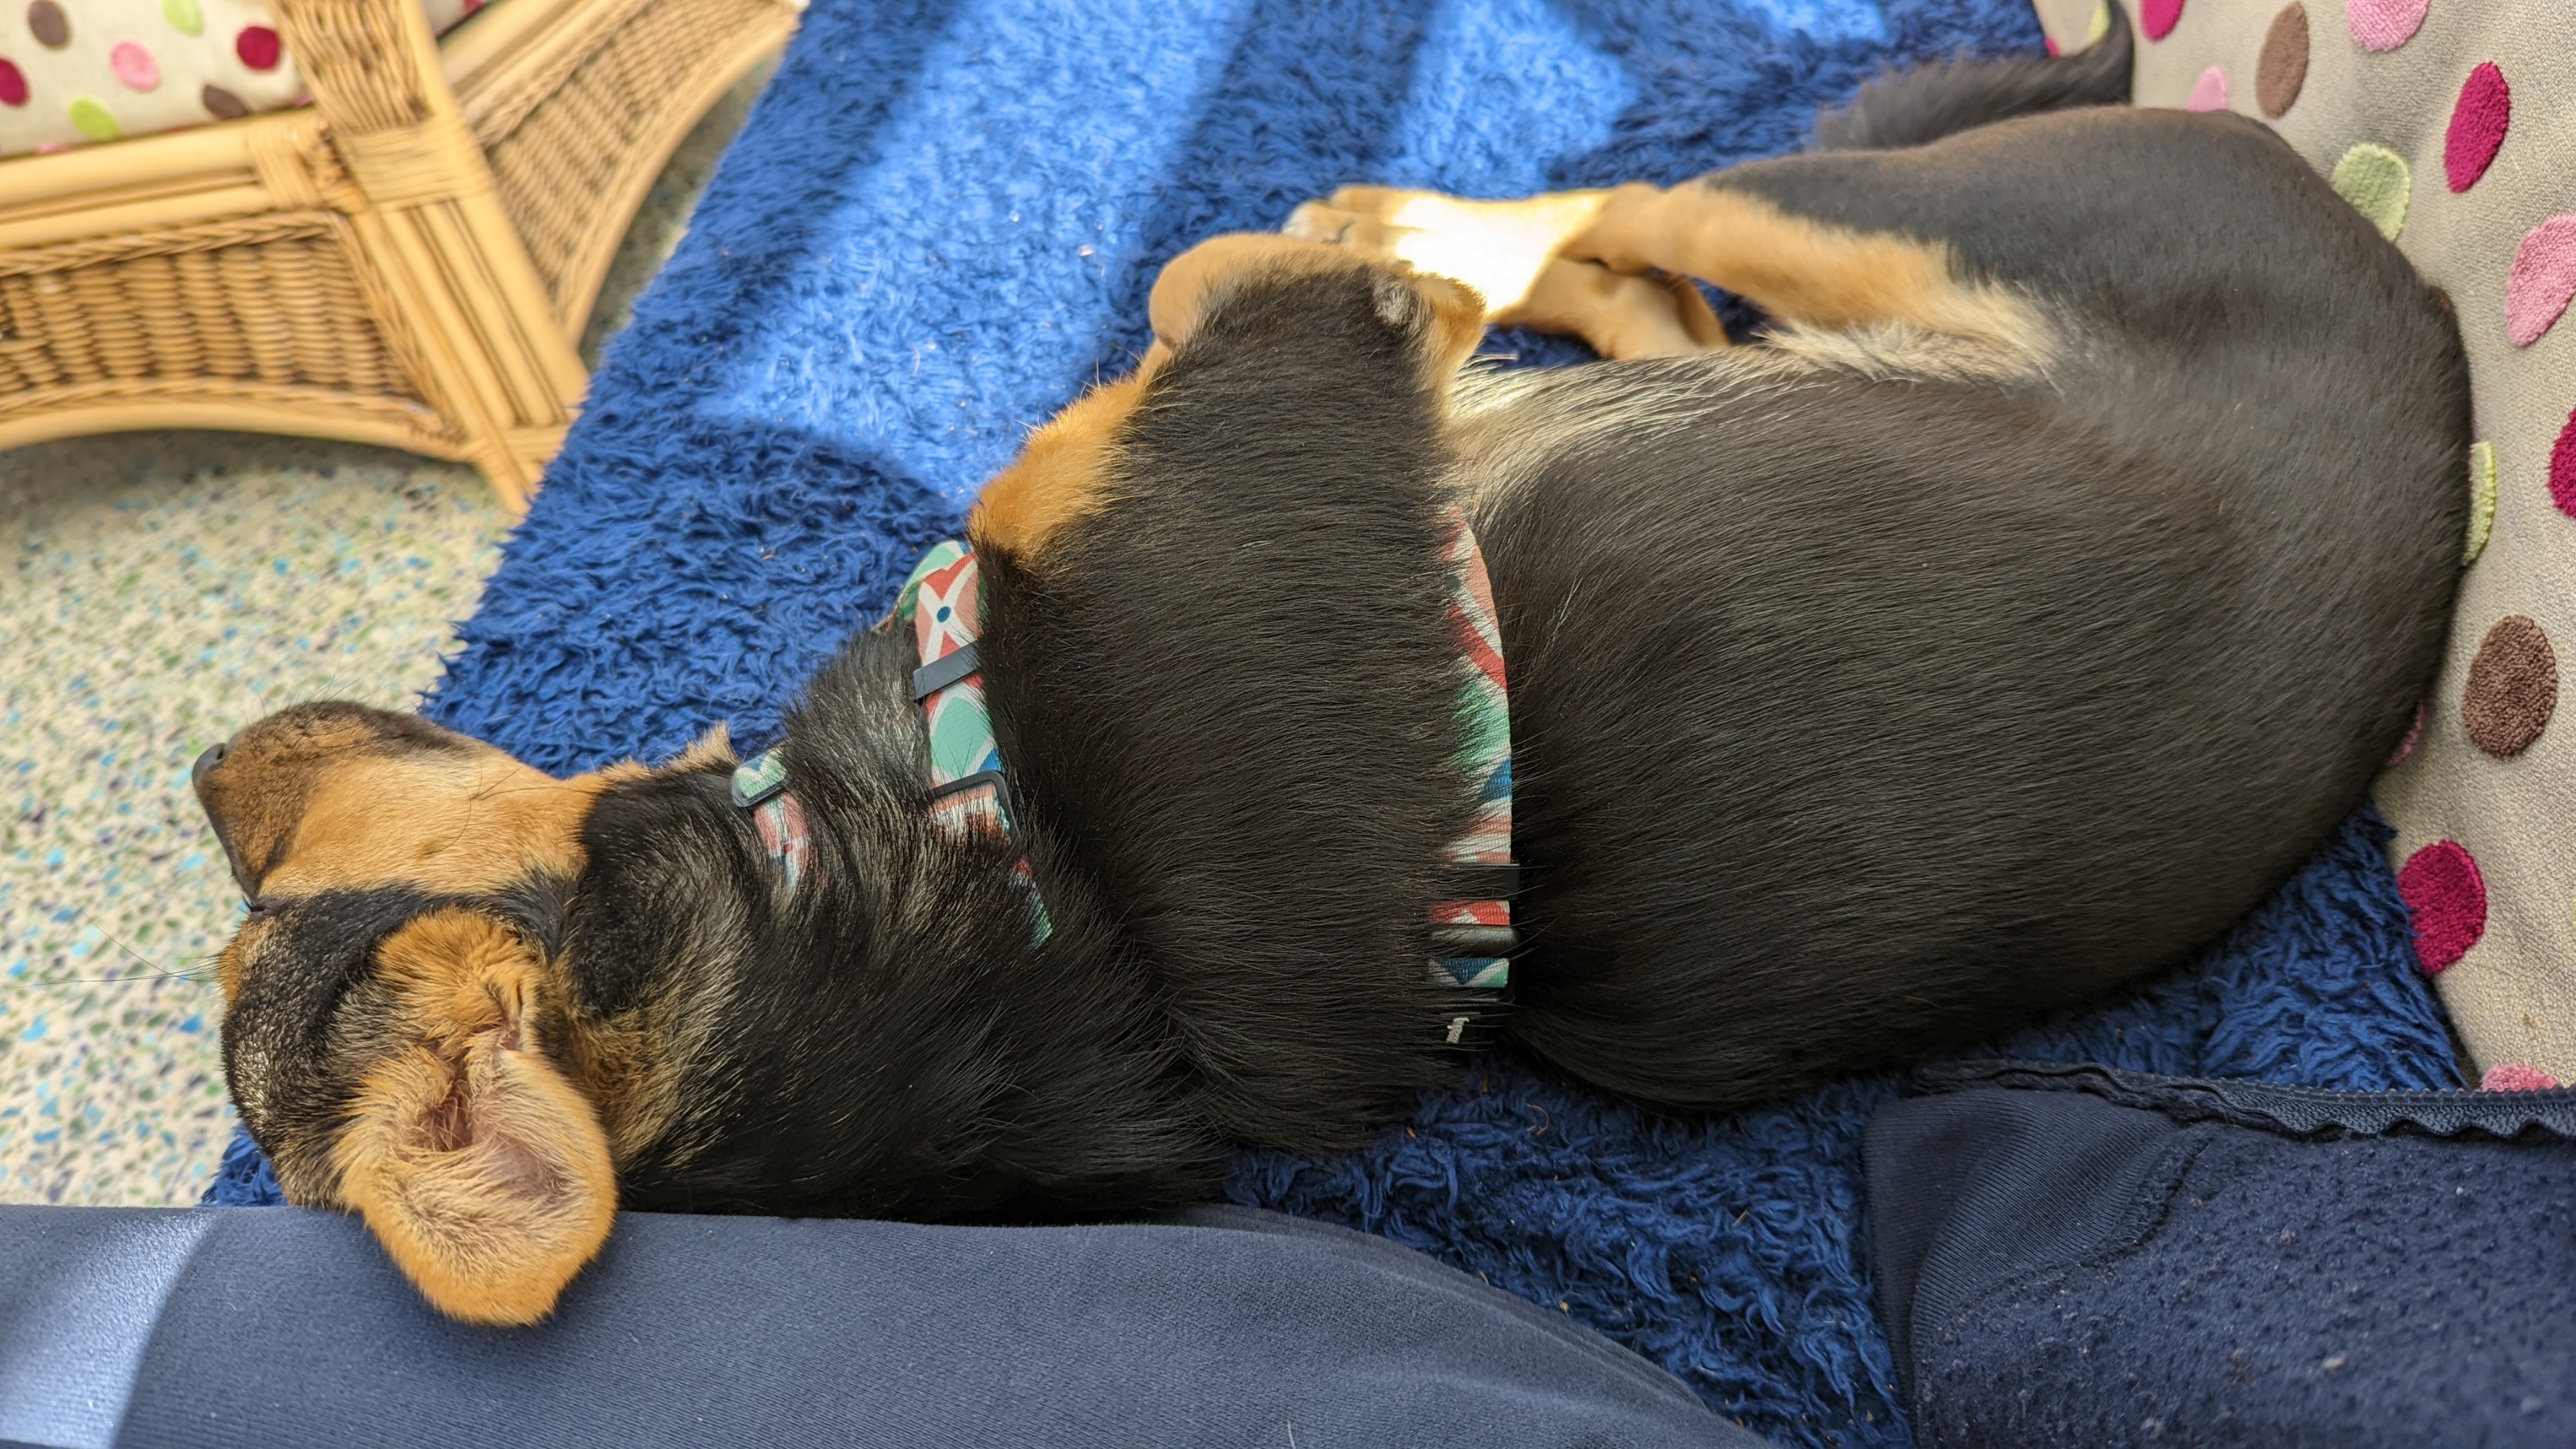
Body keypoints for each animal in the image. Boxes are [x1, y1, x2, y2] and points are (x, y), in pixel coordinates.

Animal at [196, 30, 2452, 1320]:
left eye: (267, 886)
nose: (216, 774)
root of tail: (2427, 351)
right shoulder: (1300, 346)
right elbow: (1282, 265)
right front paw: (1397, 260)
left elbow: (1261, 269)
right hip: (1869, 215)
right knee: (1618, 210)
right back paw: (1493, 249)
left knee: (1630, 255)